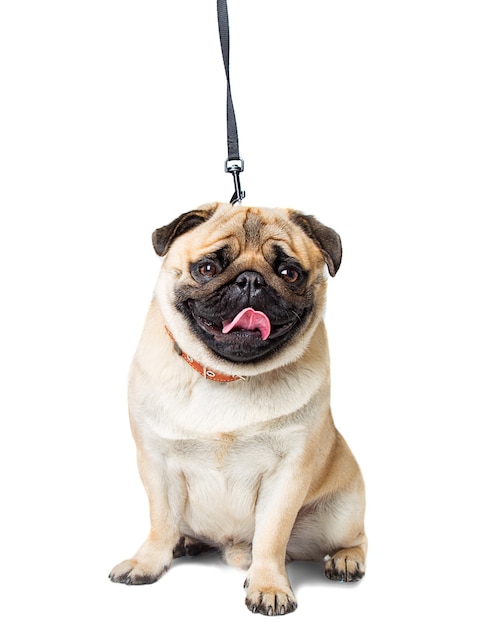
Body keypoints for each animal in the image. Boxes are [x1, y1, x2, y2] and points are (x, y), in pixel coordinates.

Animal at [110, 202, 368, 612]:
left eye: (289, 273)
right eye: (207, 268)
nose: (250, 281)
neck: (227, 376)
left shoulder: (288, 474)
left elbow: (271, 537)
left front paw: (269, 586)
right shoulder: (156, 463)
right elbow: (161, 521)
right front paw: (147, 563)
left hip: (340, 514)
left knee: (357, 538)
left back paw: (346, 560)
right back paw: (185, 542)